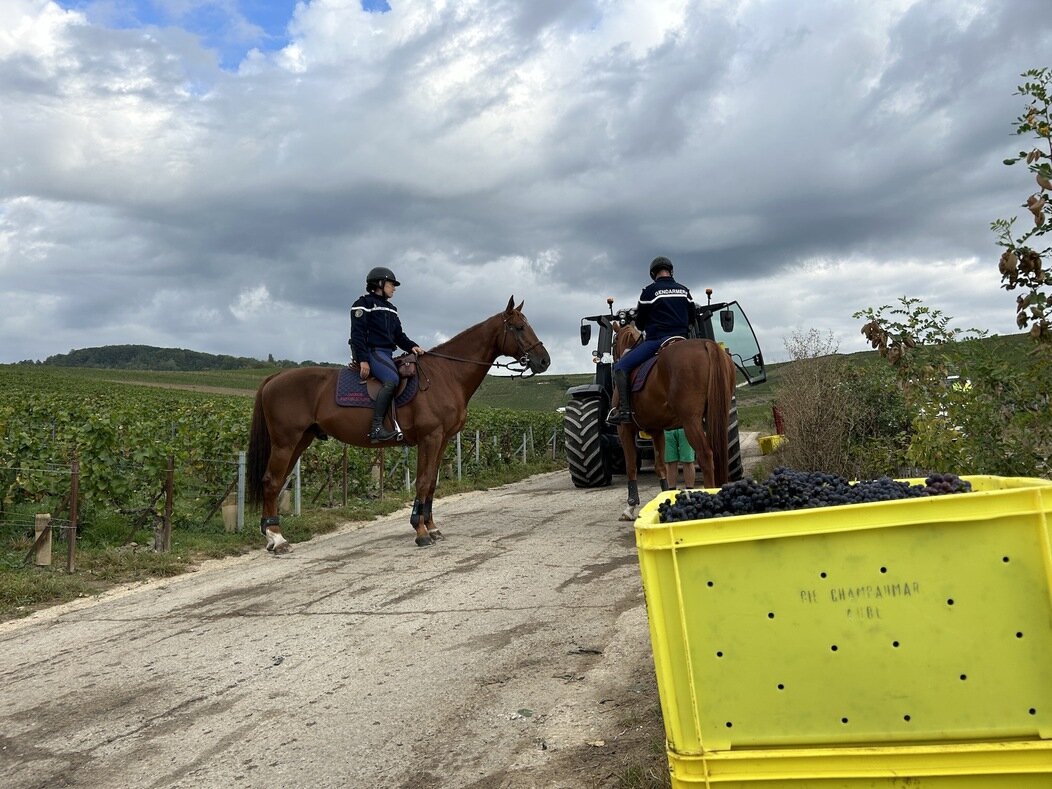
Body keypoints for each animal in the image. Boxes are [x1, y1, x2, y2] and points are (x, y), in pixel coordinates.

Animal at [247, 298, 551, 551]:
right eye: (519, 327)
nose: (544, 360)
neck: (446, 374)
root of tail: (275, 377)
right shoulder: (430, 437)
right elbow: (423, 481)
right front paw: (421, 532)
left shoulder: (441, 440)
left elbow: (431, 483)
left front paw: (431, 527)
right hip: (285, 442)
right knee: (271, 481)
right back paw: (277, 539)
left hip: (301, 440)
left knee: (276, 482)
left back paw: (272, 534)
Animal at [614, 317, 736, 521]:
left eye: (614, 340)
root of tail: (707, 344)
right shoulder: (657, 431)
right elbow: (660, 467)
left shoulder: (624, 429)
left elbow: (631, 468)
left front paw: (630, 507)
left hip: (691, 422)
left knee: (705, 455)